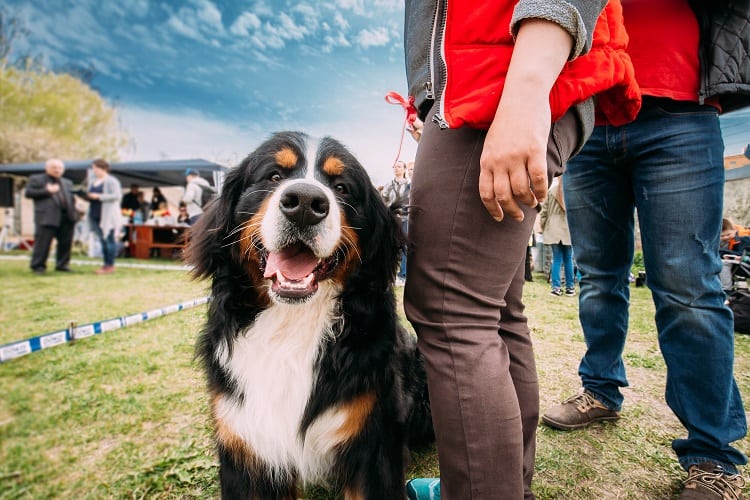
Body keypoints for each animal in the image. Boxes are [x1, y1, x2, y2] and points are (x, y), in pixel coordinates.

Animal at [187, 131, 434, 498]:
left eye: (342, 187)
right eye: (274, 175)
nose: (305, 202)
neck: (291, 325)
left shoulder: (373, 445)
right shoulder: (247, 444)